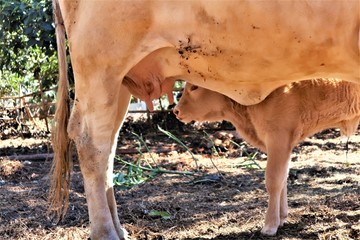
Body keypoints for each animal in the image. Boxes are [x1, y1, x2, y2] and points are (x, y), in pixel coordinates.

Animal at [174, 79, 360, 234]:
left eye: (194, 87)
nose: (176, 110)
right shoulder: (284, 145)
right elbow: (284, 177)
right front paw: (282, 217)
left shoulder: (278, 139)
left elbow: (274, 180)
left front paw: (270, 226)